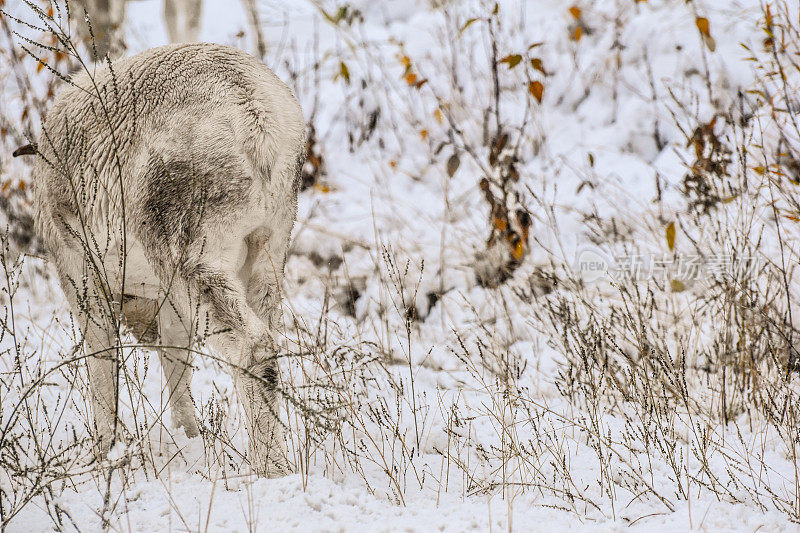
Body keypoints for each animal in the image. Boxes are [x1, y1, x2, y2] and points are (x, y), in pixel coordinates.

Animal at [27, 41, 304, 474]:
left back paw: (271, 468)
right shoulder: (165, 301)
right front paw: (189, 438)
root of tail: (256, 117)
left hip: (191, 258)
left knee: (253, 346)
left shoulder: (79, 273)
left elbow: (101, 363)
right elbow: (176, 359)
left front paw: (104, 452)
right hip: (267, 255)